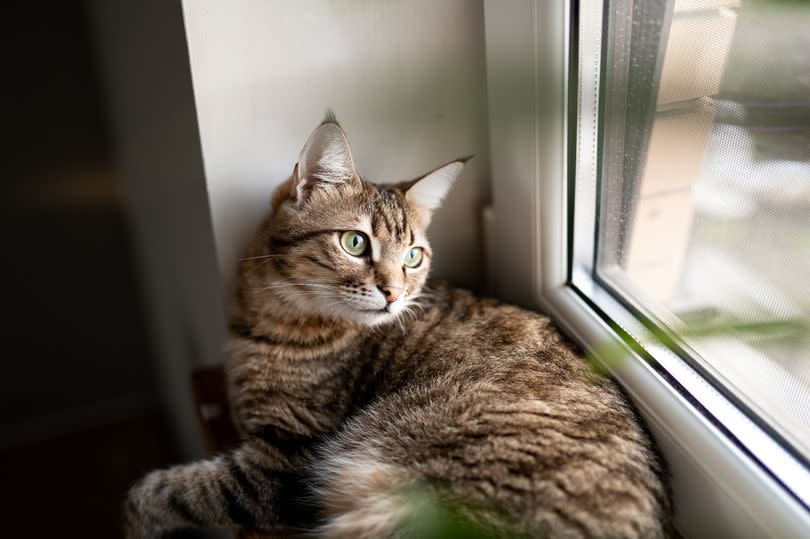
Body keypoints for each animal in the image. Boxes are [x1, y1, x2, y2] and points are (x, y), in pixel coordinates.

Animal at [124, 114, 668, 539]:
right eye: (354, 242)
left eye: (412, 256)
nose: (392, 293)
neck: (275, 323)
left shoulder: (282, 462)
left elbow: (167, 490)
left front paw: (136, 516)